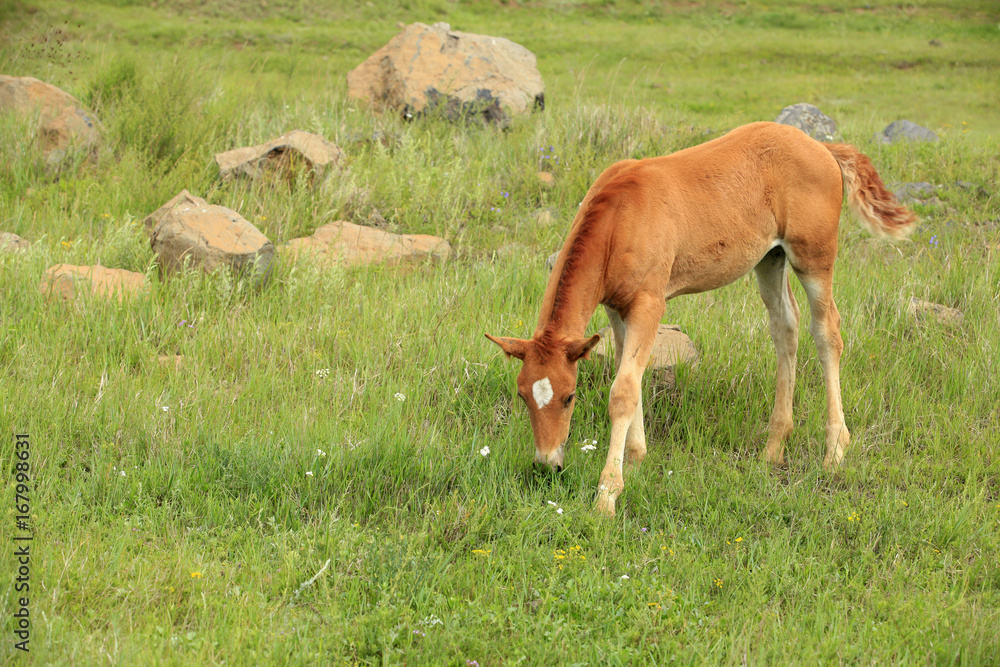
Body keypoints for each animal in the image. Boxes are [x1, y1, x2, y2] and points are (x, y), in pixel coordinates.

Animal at [484, 121, 916, 516]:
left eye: (569, 396)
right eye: (522, 395)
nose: (547, 464)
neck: (620, 218)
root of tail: (823, 147)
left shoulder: (649, 304)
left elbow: (623, 391)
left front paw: (607, 495)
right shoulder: (616, 308)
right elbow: (628, 374)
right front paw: (636, 457)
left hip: (814, 257)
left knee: (827, 333)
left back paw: (835, 450)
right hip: (770, 258)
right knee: (785, 328)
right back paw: (774, 446)